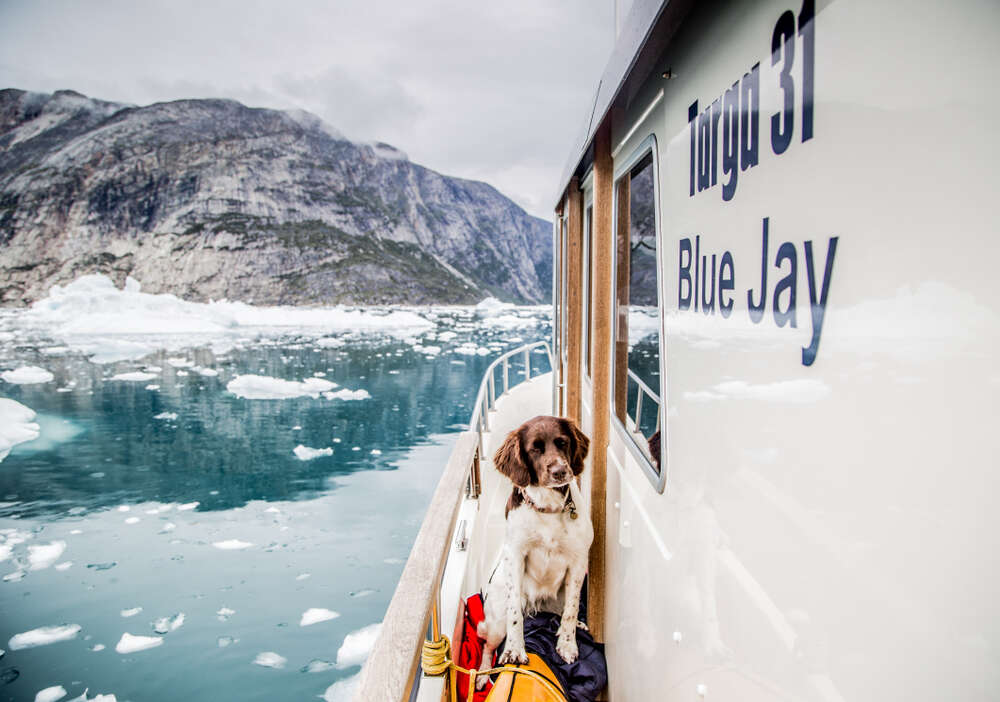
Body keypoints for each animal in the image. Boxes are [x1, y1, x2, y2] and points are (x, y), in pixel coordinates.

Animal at [474, 418, 588, 680]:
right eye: (535, 449)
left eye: (562, 442)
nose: (559, 471)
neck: (548, 509)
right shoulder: (515, 555)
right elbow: (515, 611)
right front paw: (514, 651)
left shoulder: (579, 560)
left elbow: (572, 609)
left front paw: (567, 645)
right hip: (496, 621)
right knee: (487, 645)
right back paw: (483, 674)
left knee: (563, 612)